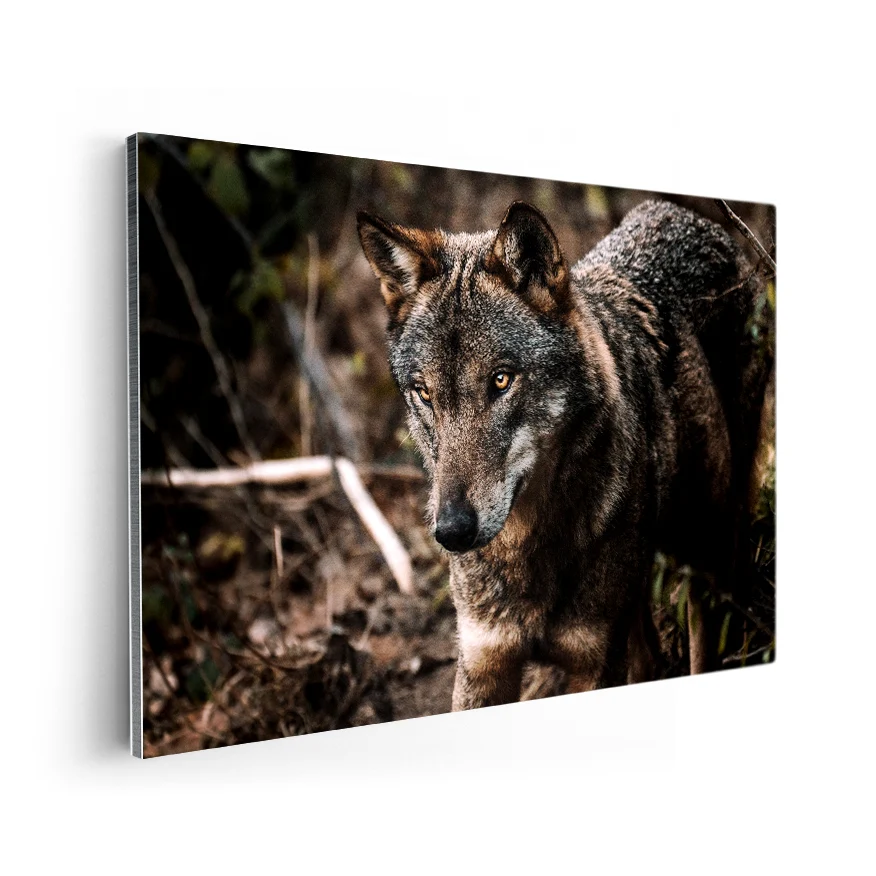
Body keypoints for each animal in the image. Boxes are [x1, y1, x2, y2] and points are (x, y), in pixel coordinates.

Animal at [358, 198, 769, 710]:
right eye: (425, 393)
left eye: (501, 380)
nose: (451, 531)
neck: (527, 549)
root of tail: (676, 209)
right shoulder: (483, 663)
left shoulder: (594, 662)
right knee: (650, 654)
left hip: (706, 553)